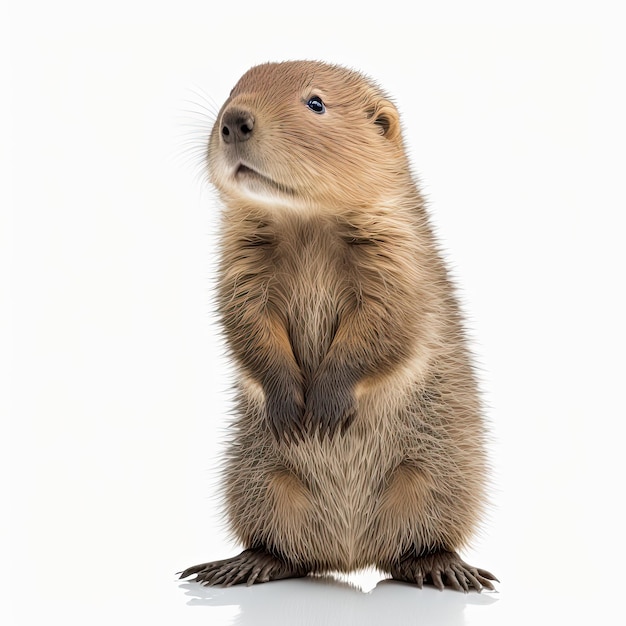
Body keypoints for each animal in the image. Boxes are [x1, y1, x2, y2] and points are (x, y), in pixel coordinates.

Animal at [179, 62, 498, 588]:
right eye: (232, 89)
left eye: (316, 103)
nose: (235, 119)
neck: (306, 224)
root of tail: (350, 556)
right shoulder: (241, 257)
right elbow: (244, 318)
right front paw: (289, 408)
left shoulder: (400, 251)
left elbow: (387, 321)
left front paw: (326, 407)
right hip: (255, 478)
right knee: (282, 546)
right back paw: (239, 565)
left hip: (441, 472)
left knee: (420, 539)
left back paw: (445, 569)